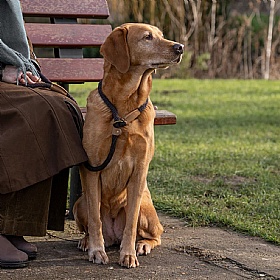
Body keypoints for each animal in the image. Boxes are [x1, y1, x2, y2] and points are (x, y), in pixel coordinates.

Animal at [73, 23, 184, 268]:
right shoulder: (91, 168)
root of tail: (113, 235)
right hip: (80, 203)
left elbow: (131, 222)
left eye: (161, 35)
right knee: (92, 222)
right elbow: (95, 219)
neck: (124, 107)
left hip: (146, 207)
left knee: (156, 234)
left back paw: (142, 245)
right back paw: (87, 241)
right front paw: (96, 250)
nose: (180, 47)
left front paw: (128, 253)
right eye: (147, 37)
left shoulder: (140, 170)